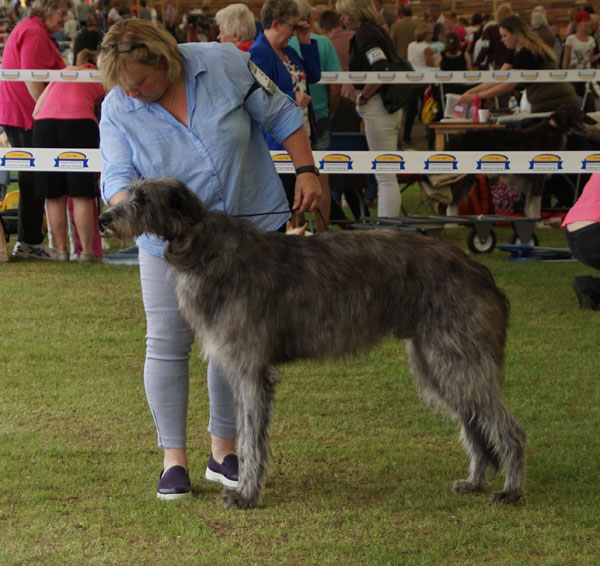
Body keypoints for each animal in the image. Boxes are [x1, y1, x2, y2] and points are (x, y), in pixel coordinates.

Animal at [101, 176, 528, 510]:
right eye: (130, 192)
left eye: (144, 198)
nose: (105, 218)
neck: (205, 247)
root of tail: (479, 270)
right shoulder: (240, 368)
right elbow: (248, 434)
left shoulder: (250, 370)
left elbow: (251, 439)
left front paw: (247, 494)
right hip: (436, 362)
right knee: (474, 423)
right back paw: (475, 482)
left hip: (456, 357)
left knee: (507, 429)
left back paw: (511, 490)